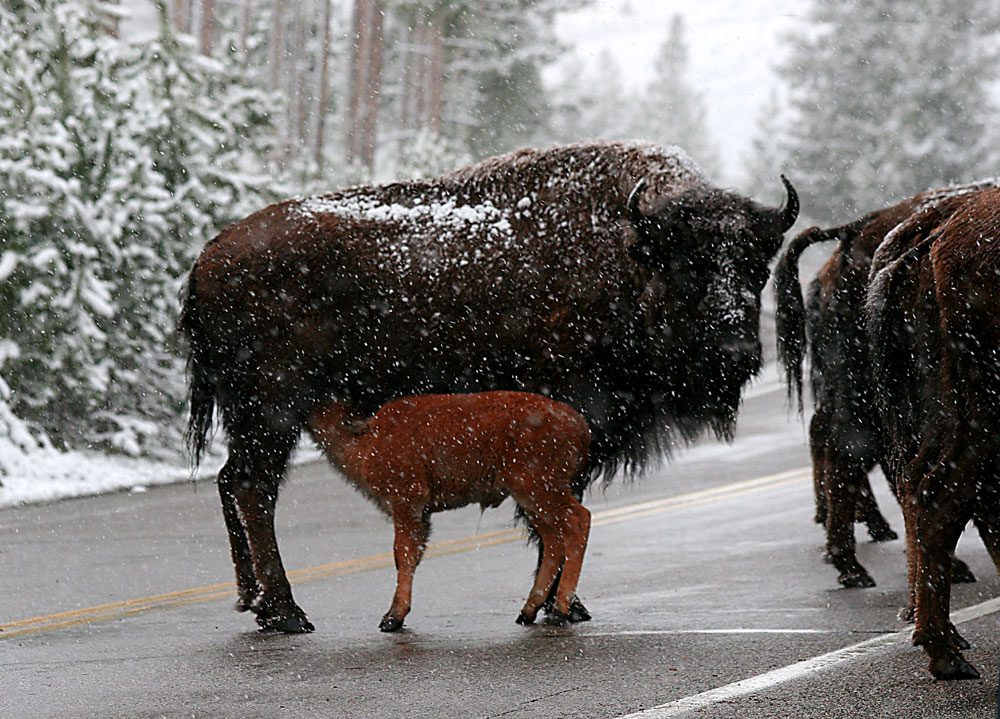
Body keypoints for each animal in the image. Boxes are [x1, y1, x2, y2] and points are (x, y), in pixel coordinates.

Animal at [306, 390, 592, 632]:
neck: (368, 438)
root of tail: (578, 423)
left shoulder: (406, 501)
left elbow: (403, 553)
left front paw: (391, 619)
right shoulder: (420, 513)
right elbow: (414, 552)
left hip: (539, 489)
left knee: (578, 520)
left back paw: (559, 612)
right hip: (530, 499)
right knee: (553, 539)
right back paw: (527, 612)